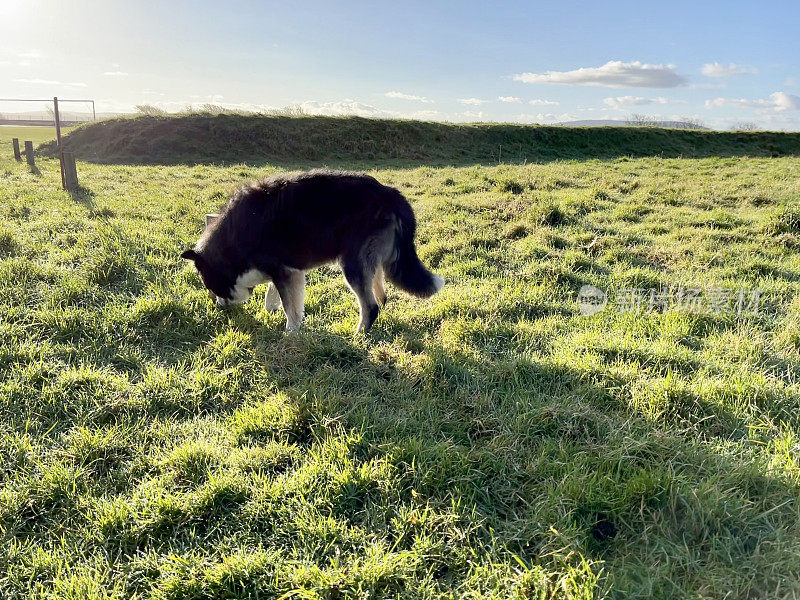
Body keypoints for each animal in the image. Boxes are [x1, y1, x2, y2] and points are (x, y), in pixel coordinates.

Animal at [181, 170, 444, 332]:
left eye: (210, 285)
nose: (220, 308)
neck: (234, 237)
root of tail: (390, 193)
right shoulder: (287, 271)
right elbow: (274, 296)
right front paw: (273, 312)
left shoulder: (284, 271)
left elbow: (290, 307)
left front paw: (290, 333)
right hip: (370, 258)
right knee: (380, 292)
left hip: (353, 264)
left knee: (370, 306)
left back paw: (359, 335)